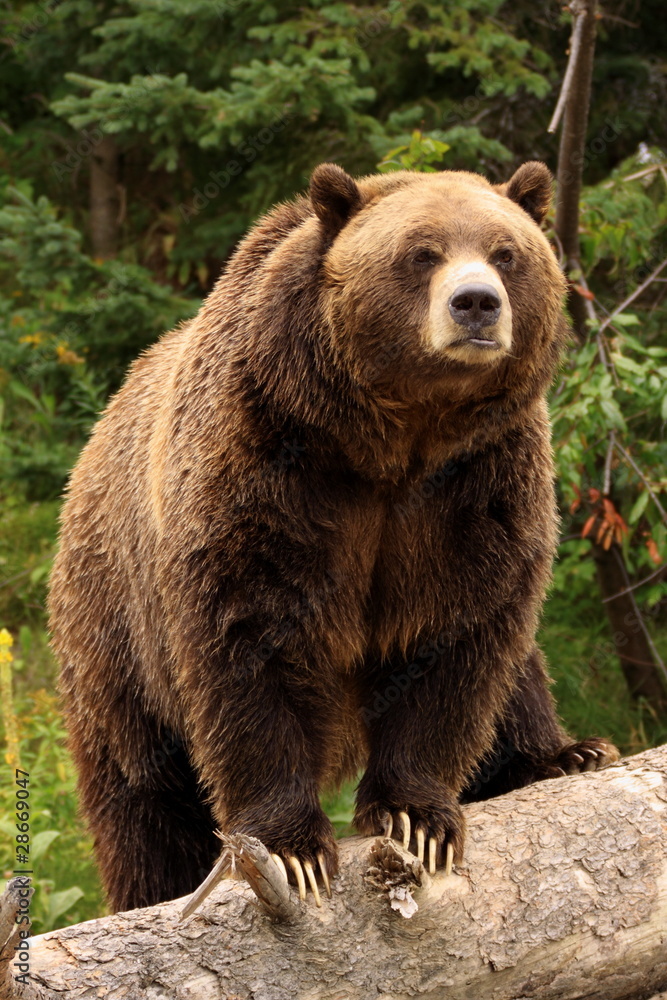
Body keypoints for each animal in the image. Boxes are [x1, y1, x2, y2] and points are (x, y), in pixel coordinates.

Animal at [48, 161, 619, 912]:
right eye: (420, 253)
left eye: (506, 253)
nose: (475, 304)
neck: (396, 440)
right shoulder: (265, 467)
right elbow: (247, 641)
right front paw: (293, 848)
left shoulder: (480, 487)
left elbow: (461, 636)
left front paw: (416, 817)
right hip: (114, 629)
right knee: (138, 788)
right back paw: (152, 889)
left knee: (518, 671)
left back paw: (566, 753)